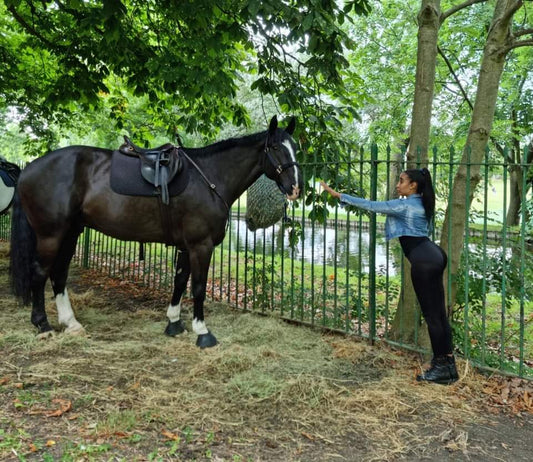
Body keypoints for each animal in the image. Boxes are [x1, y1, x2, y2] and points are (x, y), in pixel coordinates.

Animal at [10, 114, 302, 346]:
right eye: (276, 146)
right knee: (40, 273)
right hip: (51, 235)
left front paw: (174, 323)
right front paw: (202, 331)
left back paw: (71, 323)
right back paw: (43, 325)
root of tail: (29, 169)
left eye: (295, 147)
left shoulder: (186, 245)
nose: (296, 188)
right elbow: (198, 286)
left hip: (71, 233)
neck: (209, 178)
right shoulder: (201, 245)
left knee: (59, 274)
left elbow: (180, 281)